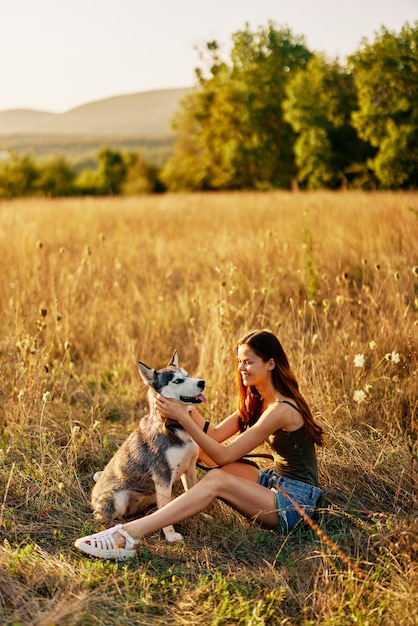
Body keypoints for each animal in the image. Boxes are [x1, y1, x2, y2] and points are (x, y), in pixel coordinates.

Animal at [90, 352, 205, 540]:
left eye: (187, 375)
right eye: (177, 381)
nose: (203, 382)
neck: (173, 426)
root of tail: (93, 495)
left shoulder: (189, 468)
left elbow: (194, 493)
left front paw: (202, 516)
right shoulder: (163, 477)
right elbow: (166, 511)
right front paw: (171, 536)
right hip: (119, 498)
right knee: (102, 516)